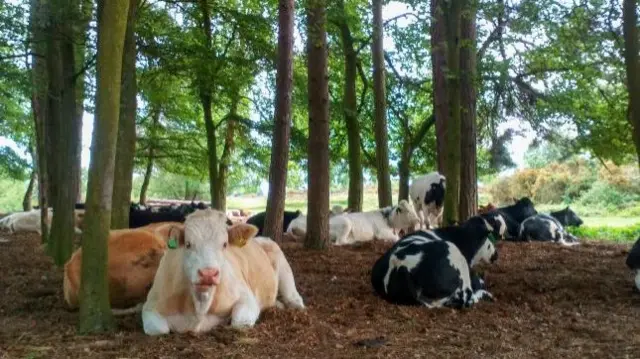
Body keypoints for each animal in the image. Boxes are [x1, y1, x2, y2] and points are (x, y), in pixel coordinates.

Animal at [141, 210, 304, 336]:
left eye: (224, 244)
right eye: (188, 244)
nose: (208, 273)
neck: (200, 306)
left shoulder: (246, 297)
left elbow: (239, 322)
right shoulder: (150, 305)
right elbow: (159, 329)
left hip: (279, 256)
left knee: (293, 297)